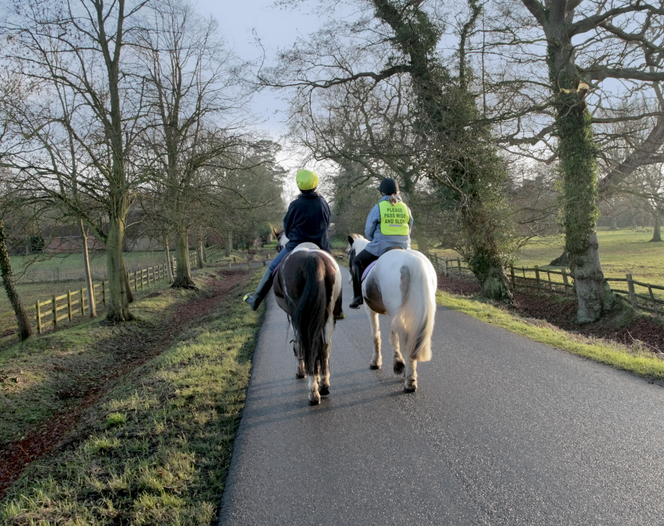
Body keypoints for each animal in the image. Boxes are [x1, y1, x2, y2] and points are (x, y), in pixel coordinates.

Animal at [272, 241, 342, 406]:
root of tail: (313, 259)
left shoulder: (293, 316)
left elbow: (298, 345)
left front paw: (300, 372)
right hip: (328, 316)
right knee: (324, 347)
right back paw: (324, 385)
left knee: (309, 345)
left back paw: (313, 393)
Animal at [344, 237, 438, 394]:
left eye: (349, 254)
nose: (350, 281)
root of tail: (412, 262)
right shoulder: (393, 314)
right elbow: (394, 337)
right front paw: (398, 363)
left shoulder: (370, 311)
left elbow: (375, 335)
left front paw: (377, 362)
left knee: (406, 339)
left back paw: (410, 382)